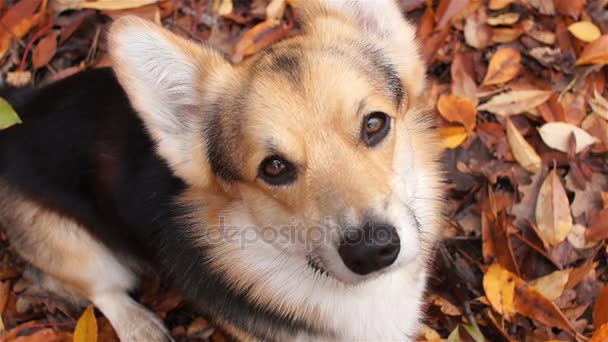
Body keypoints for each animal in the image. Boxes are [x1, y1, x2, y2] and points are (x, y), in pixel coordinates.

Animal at [0, 1, 444, 340]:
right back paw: (139, 325)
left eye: (374, 124)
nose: (372, 250)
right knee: (100, 289)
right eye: (274, 168)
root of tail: (22, 107)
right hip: (79, 250)